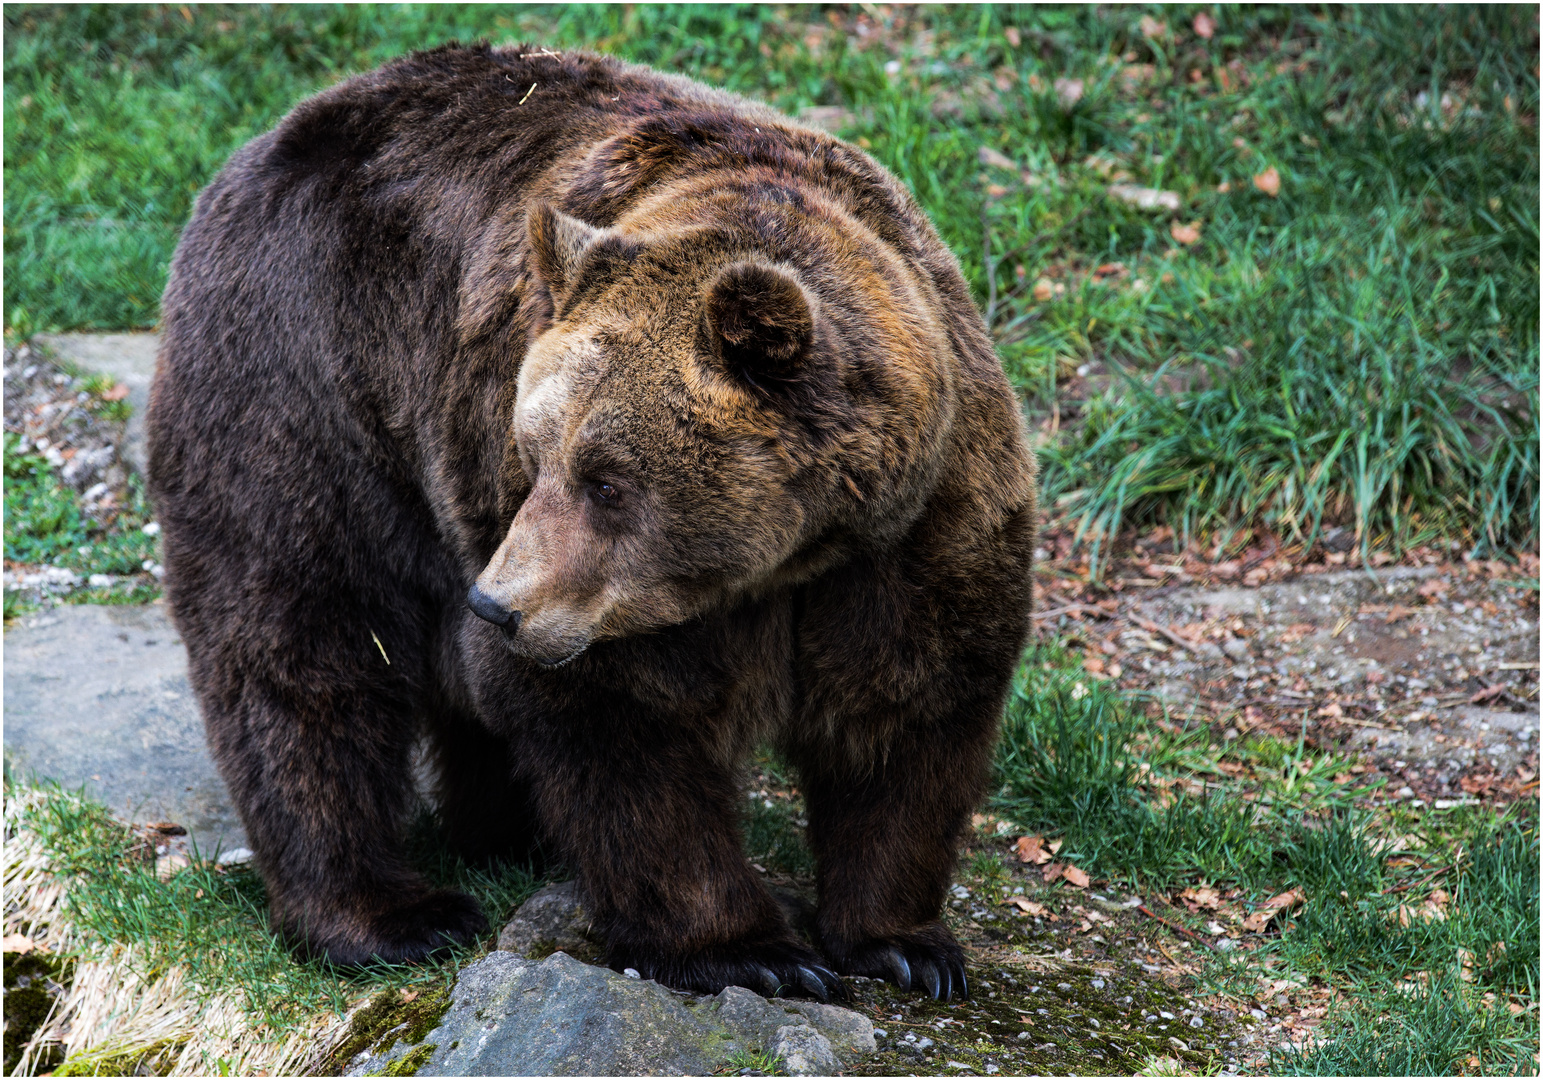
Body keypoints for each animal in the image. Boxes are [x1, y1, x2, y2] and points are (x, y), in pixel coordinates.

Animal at [147, 44, 1036, 1005]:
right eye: (535, 453)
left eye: (607, 481)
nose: (497, 605)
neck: (790, 555)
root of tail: (274, 134)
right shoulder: (592, 583)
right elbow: (624, 727)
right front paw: (750, 948)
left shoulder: (919, 524)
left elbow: (910, 707)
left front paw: (903, 943)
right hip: (307, 387)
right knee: (306, 640)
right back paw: (388, 913)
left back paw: (508, 831)